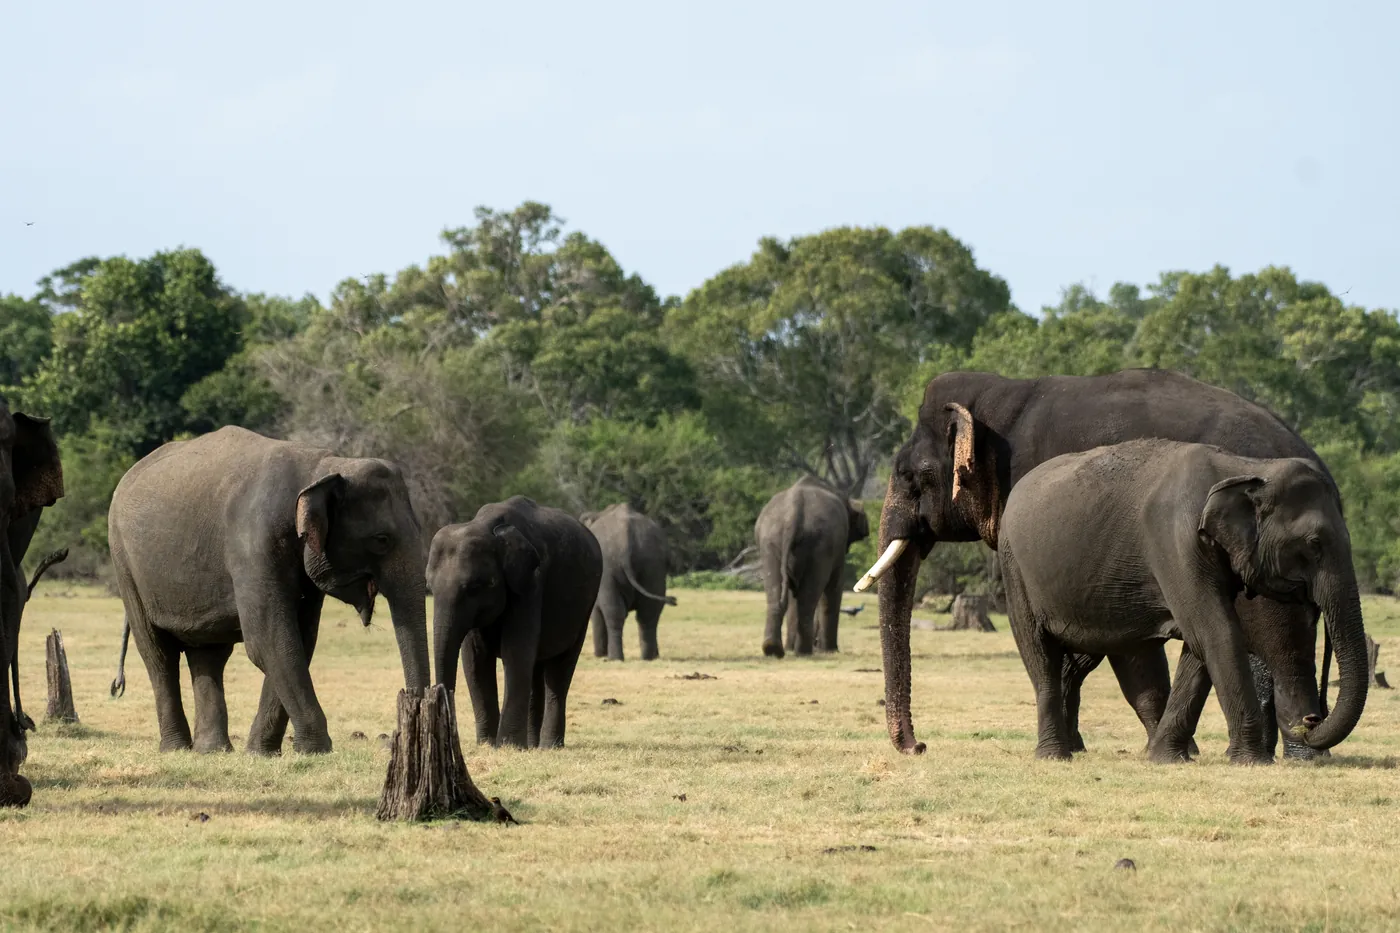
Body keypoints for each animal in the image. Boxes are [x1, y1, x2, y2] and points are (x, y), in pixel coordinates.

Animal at [108, 426, 430, 755]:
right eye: (381, 540)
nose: (394, 736)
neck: (323, 466)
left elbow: (299, 638)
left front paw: (261, 752)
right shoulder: (254, 545)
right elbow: (269, 640)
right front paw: (315, 749)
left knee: (208, 653)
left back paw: (213, 750)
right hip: (125, 563)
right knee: (158, 654)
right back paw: (176, 749)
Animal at [428, 496, 602, 749]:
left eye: (474, 588)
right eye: (429, 588)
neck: (486, 526)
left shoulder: (531, 583)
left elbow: (515, 651)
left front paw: (508, 745)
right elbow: (474, 659)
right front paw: (487, 744)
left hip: (585, 606)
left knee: (560, 670)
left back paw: (549, 746)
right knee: (535, 669)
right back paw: (532, 745)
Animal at [581, 503, 676, 662]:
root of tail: (627, 540)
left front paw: (599, 655)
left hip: (609, 570)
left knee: (614, 612)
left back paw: (614, 658)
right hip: (653, 566)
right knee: (648, 613)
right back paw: (649, 658)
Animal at [756, 475, 870, 658]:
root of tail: (793, 514)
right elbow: (834, 586)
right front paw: (830, 651)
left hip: (770, 542)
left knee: (777, 591)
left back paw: (774, 649)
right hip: (819, 545)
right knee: (808, 596)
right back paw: (804, 652)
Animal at [998, 439, 1366, 763]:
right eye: (1314, 543)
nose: (1310, 722)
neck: (1246, 467)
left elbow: (1199, 645)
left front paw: (1167, 759)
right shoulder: (1176, 542)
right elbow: (1216, 632)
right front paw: (1252, 761)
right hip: (1014, 568)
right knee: (1040, 655)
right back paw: (1053, 756)